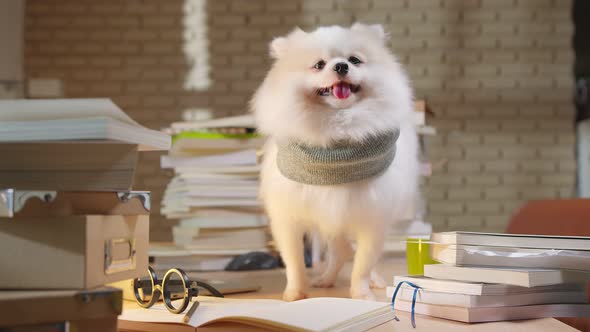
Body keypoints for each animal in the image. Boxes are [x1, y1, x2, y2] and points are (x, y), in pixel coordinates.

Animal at [252, 24, 418, 300]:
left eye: (355, 60)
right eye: (319, 65)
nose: (341, 66)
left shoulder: (372, 217)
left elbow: (363, 264)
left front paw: (361, 294)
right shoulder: (289, 217)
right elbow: (294, 262)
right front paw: (295, 293)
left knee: (358, 255)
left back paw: (374, 281)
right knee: (340, 252)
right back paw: (326, 279)